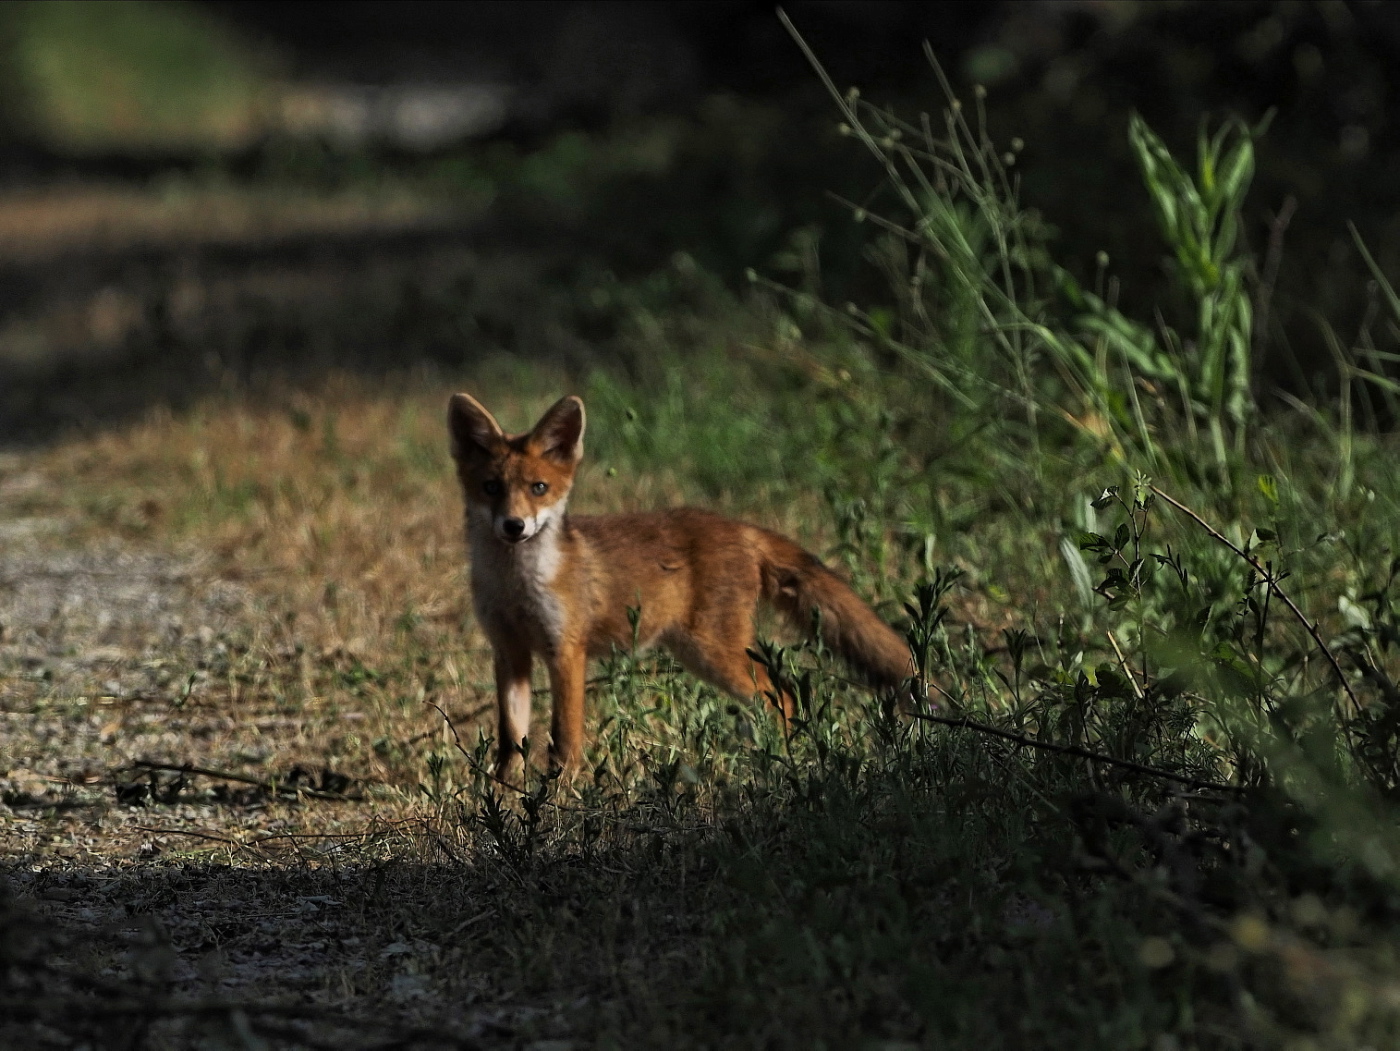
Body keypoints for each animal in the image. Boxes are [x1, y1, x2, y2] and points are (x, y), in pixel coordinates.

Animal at [448, 392, 915, 780]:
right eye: (491, 488)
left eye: (538, 488)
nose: (514, 526)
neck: (515, 585)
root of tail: (741, 527)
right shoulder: (509, 651)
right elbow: (510, 744)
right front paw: (503, 798)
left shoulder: (565, 649)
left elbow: (564, 744)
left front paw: (557, 799)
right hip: (700, 652)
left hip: (714, 652)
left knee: (783, 699)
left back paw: (782, 765)